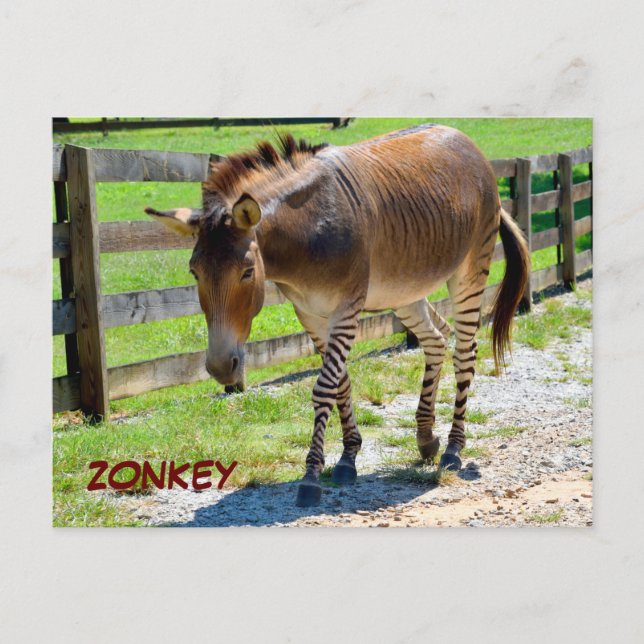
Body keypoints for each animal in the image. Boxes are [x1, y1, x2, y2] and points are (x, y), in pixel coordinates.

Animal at [146, 123, 530, 506]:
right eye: (194, 272)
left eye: (246, 273)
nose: (221, 368)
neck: (308, 232)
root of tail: (462, 137)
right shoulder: (310, 314)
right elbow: (341, 382)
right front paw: (348, 457)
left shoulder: (347, 307)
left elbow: (325, 386)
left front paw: (312, 477)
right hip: (404, 289)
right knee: (436, 338)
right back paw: (425, 437)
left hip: (470, 270)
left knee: (465, 352)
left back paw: (452, 448)